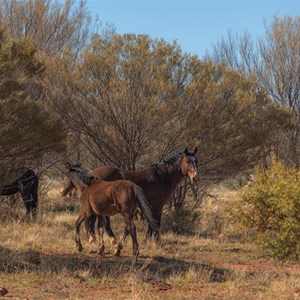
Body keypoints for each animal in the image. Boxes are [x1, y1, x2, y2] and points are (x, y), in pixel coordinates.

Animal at [61, 148, 199, 241]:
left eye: (196, 161)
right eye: (187, 160)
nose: (195, 177)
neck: (162, 177)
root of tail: (93, 173)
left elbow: (152, 223)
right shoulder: (157, 206)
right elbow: (155, 223)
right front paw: (153, 242)